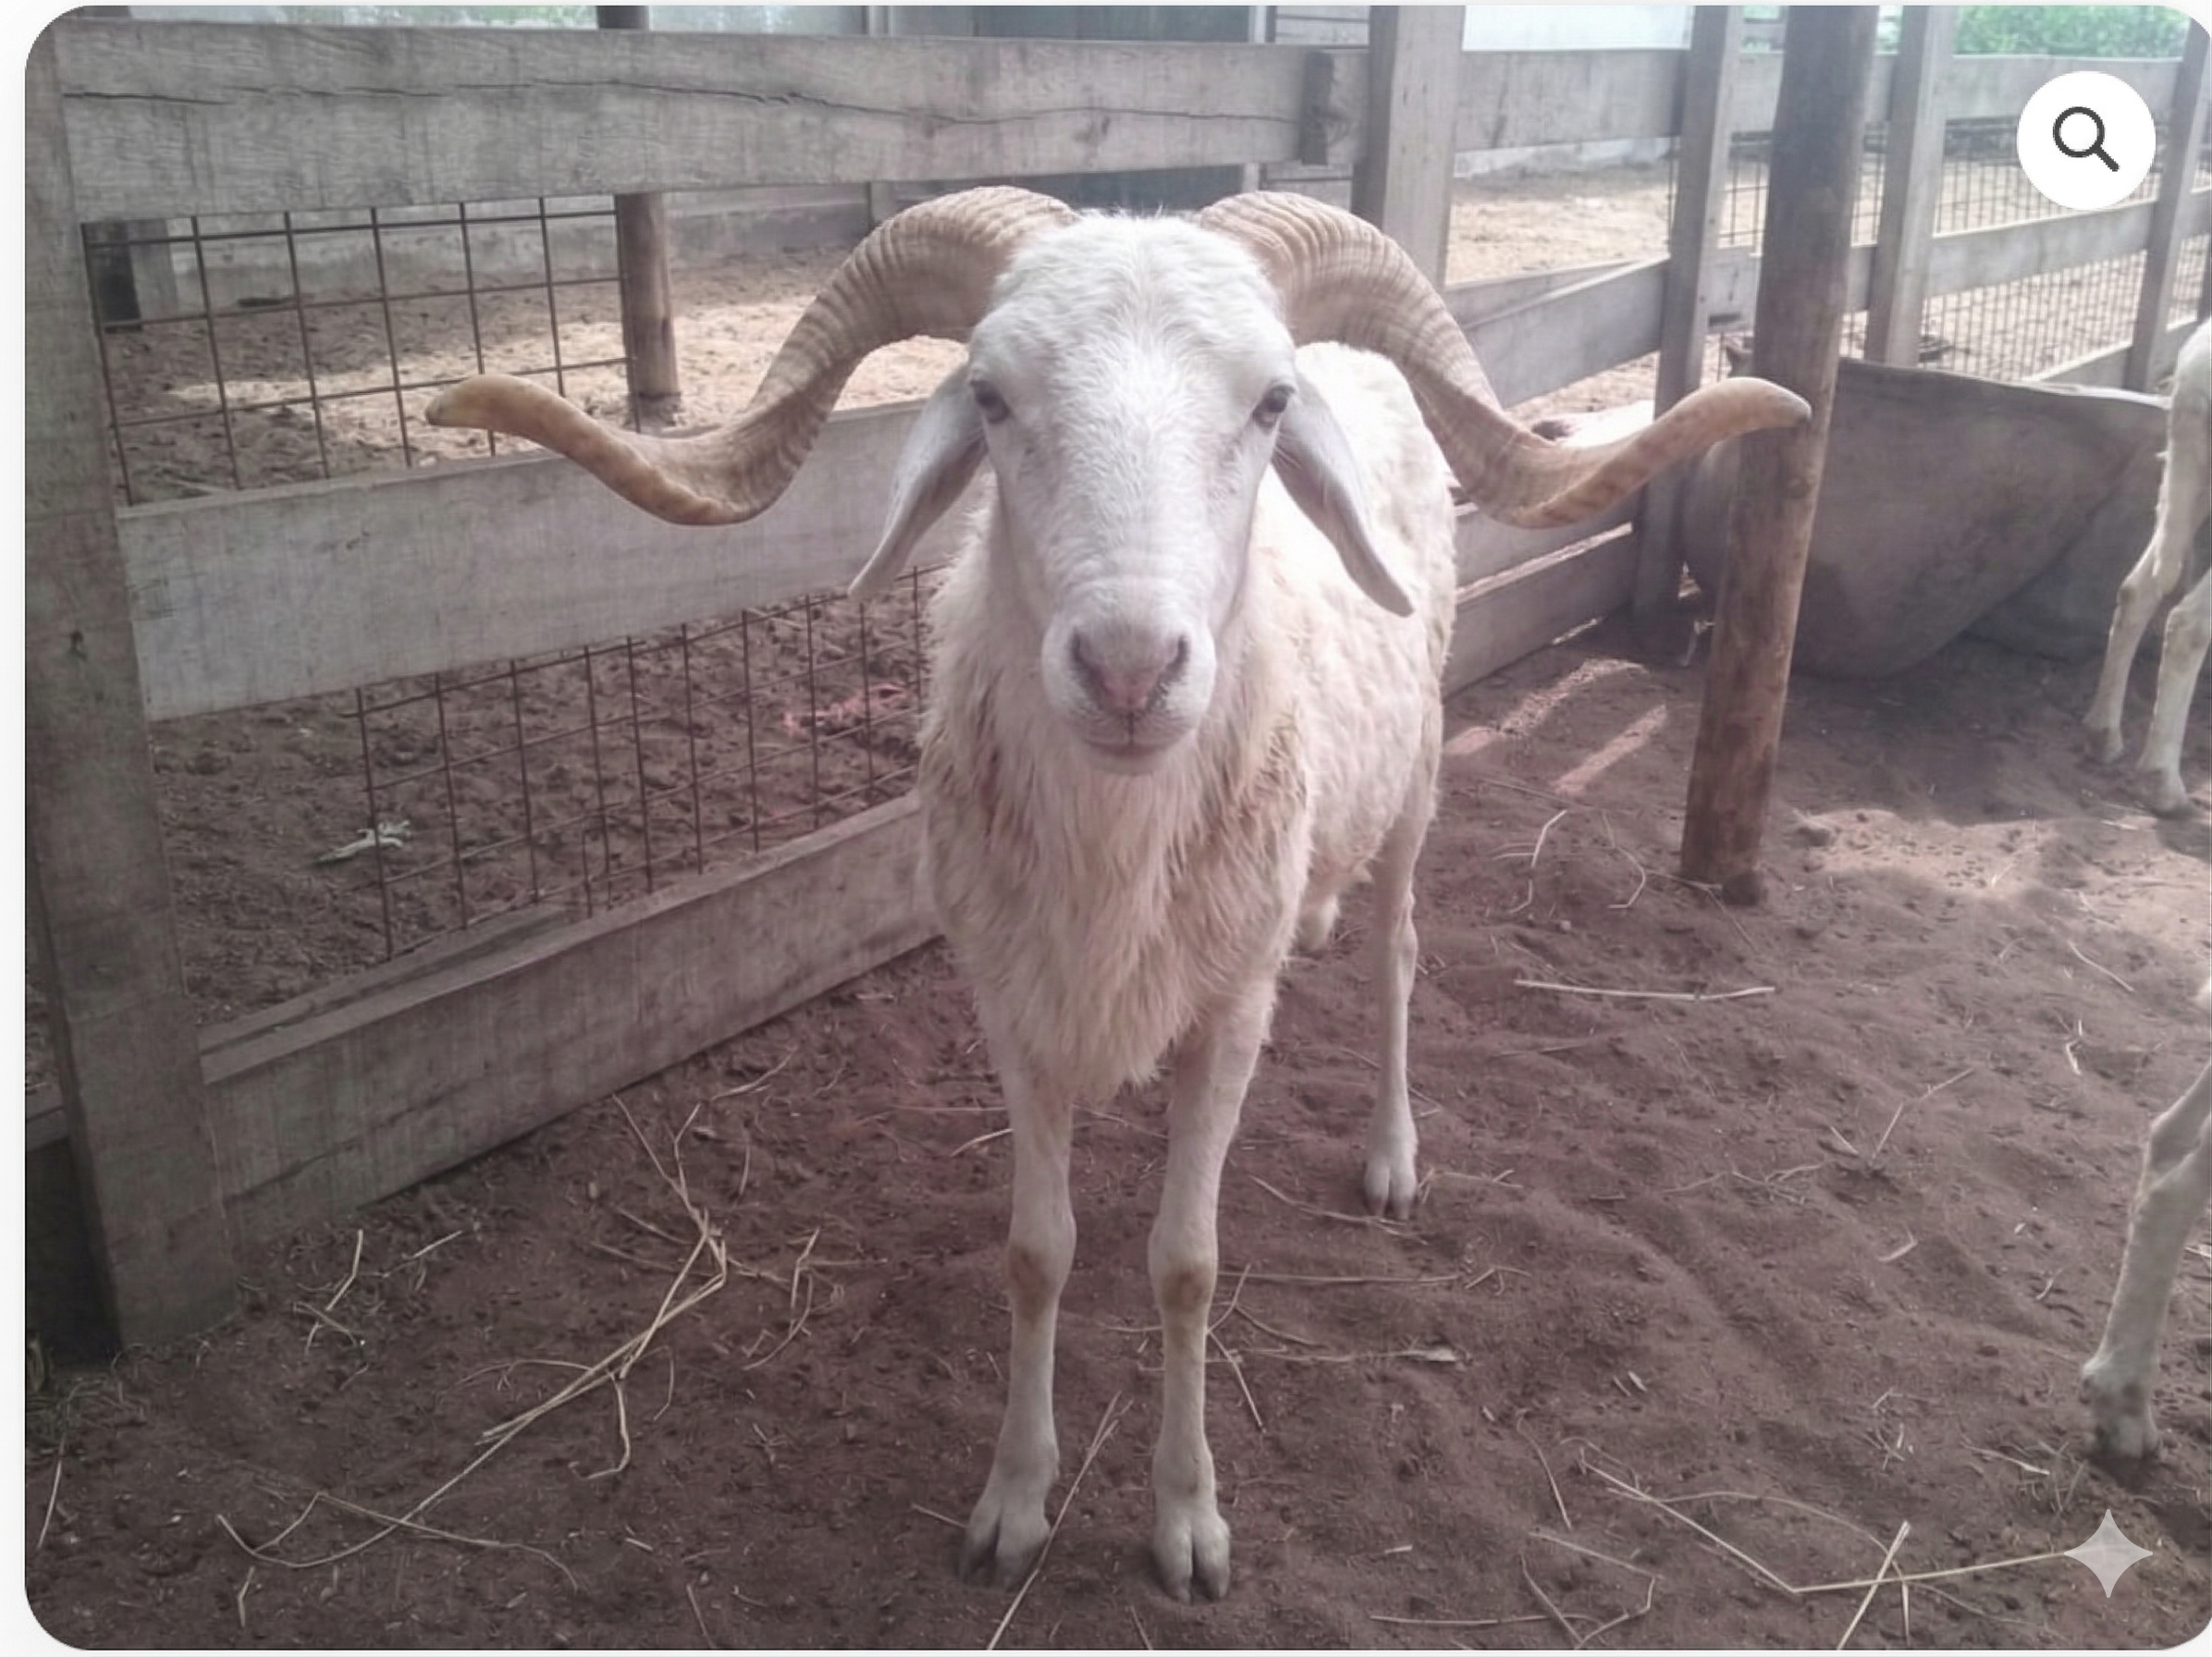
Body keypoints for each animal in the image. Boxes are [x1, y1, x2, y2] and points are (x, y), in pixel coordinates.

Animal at [426, 187, 1807, 1600]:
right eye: (989, 396)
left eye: (1266, 404)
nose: (1131, 670)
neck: (1117, 844)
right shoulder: (1013, 1007)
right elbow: (1038, 1254)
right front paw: (1013, 1501)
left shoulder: (1231, 1012)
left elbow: (1186, 1266)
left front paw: (1187, 1521)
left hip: (1415, 776)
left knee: (1397, 957)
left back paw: (1391, 1153)